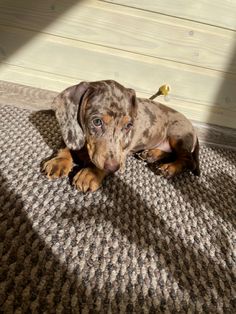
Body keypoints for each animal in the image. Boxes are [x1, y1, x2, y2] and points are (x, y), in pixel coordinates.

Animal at [42, 79, 199, 191]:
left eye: (128, 126)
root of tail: (193, 128)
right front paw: (59, 161)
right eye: (97, 122)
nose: (115, 168)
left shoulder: (122, 153)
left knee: (188, 160)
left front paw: (90, 173)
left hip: (177, 135)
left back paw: (170, 168)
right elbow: (66, 146)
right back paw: (151, 154)